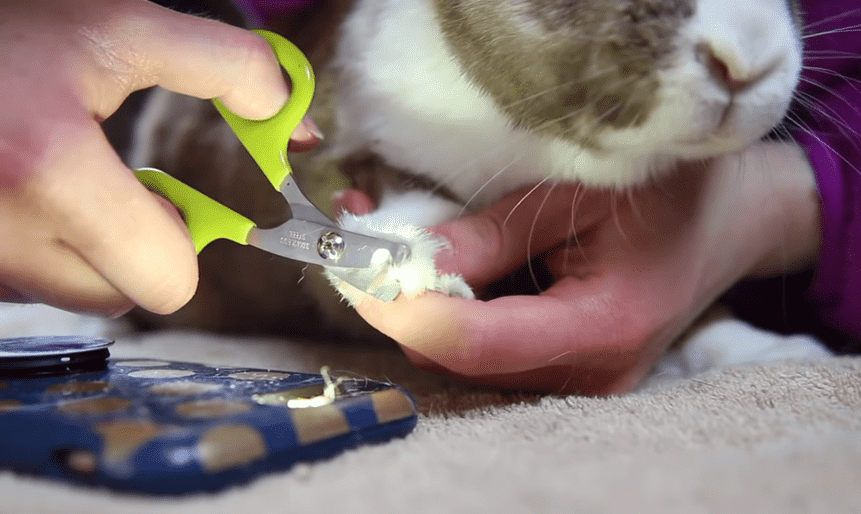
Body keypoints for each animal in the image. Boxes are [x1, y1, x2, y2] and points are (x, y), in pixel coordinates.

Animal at [124, 2, 828, 366]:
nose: (748, 61)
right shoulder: (339, 146)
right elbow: (396, 199)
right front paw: (413, 269)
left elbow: (702, 313)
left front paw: (769, 352)